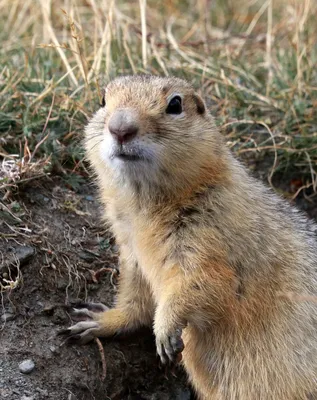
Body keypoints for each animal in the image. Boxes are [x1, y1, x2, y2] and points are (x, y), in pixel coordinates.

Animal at [60, 76, 316, 400]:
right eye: (103, 100)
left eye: (175, 104)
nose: (120, 128)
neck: (145, 207)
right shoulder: (131, 251)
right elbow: (135, 291)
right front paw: (96, 319)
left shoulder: (208, 232)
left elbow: (204, 279)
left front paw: (165, 332)